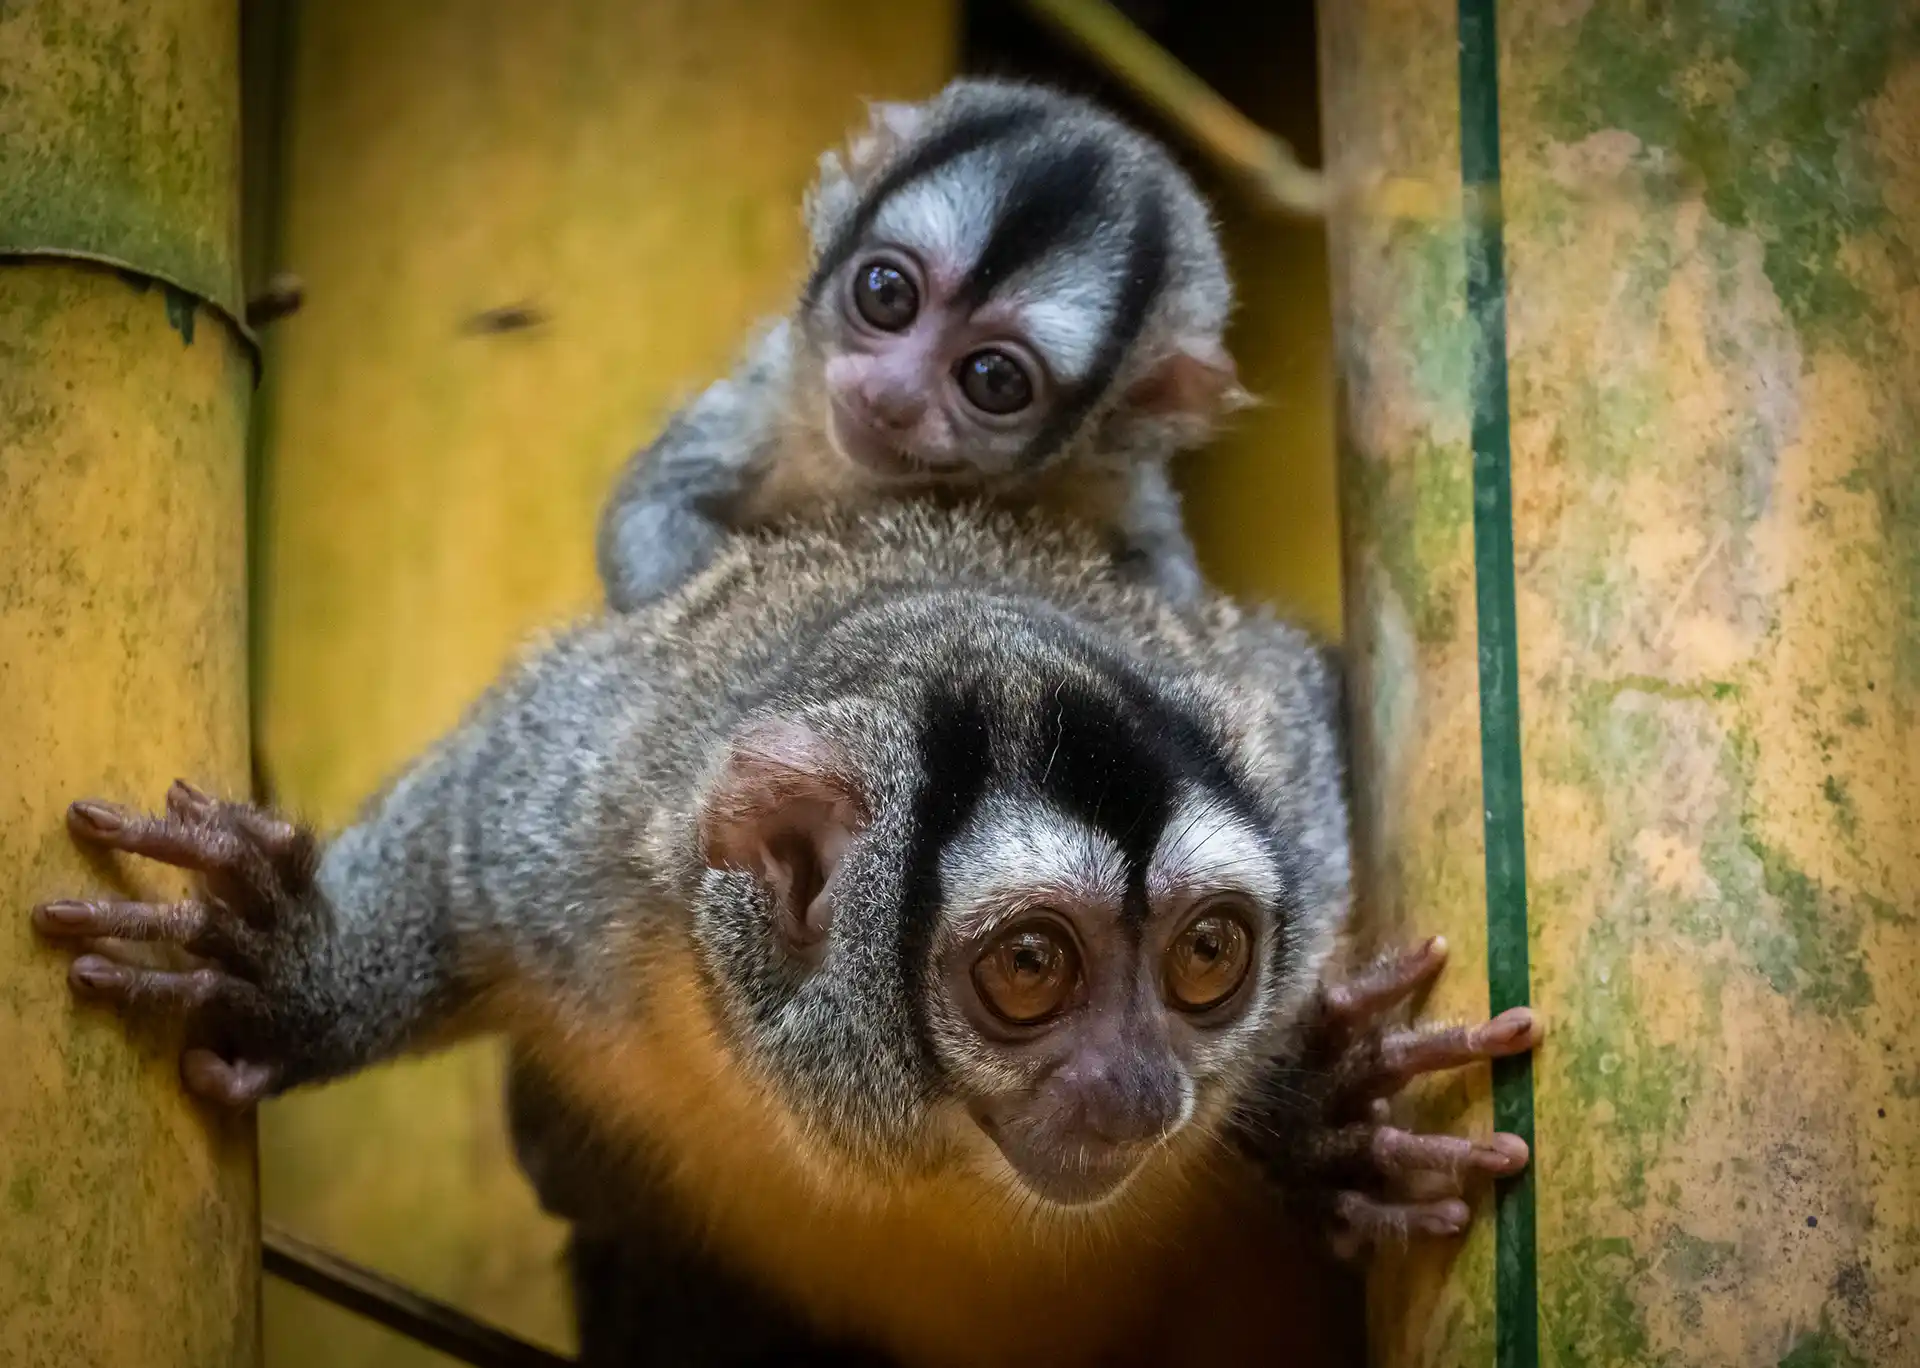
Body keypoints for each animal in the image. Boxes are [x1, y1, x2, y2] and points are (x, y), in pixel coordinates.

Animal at [34, 503, 1535, 1367]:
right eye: (1029, 969)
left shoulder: (1299, 785)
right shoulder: (591, 835)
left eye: (1209, 956)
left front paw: (1323, 1119)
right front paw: (287, 978)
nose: (1142, 1091)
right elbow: (465, 832)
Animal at [596, 77, 1251, 613]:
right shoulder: (778, 392)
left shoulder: (1116, 485)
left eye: (995, 379)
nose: (891, 395)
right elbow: (649, 508)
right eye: (887, 293)